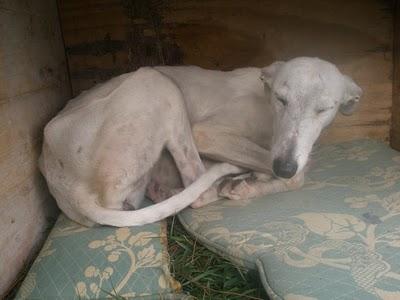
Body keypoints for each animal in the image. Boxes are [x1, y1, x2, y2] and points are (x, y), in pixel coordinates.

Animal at [39, 57, 360, 226]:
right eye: (282, 99)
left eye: (324, 109)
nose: (282, 167)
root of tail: (70, 187)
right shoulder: (208, 133)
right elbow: (299, 175)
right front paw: (252, 182)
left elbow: (296, 171)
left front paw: (258, 180)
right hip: (159, 84)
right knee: (198, 189)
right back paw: (231, 179)